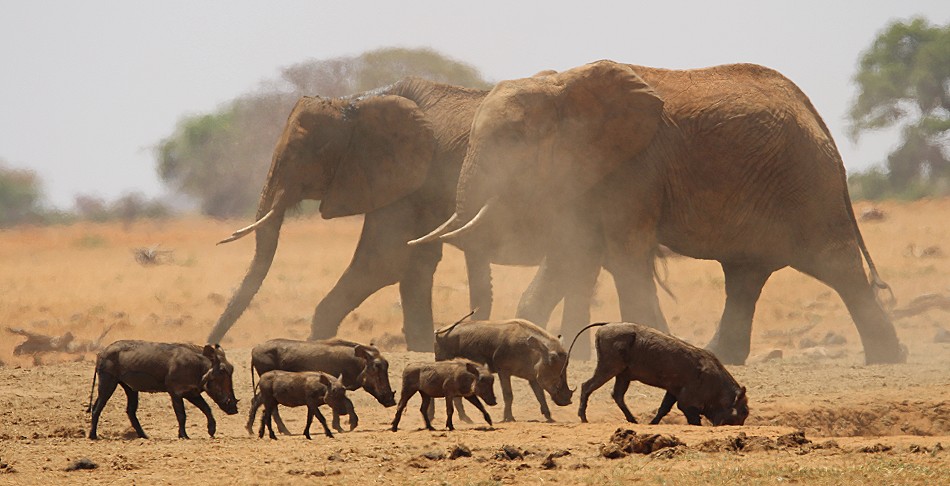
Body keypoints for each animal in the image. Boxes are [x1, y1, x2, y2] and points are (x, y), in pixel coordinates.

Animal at [206, 76, 608, 354]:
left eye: (302, 153)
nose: (212, 348)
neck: (357, 103)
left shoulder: (404, 177)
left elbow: (382, 261)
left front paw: (320, 341)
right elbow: (414, 263)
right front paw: (423, 349)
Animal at [416, 59, 908, 364]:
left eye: (514, 138)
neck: (562, 82)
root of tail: (816, 115)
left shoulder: (635, 167)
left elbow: (624, 251)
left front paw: (655, 346)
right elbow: (573, 253)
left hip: (806, 182)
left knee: (836, 265)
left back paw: (888, 359)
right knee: (745, 275)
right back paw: (721, 354)